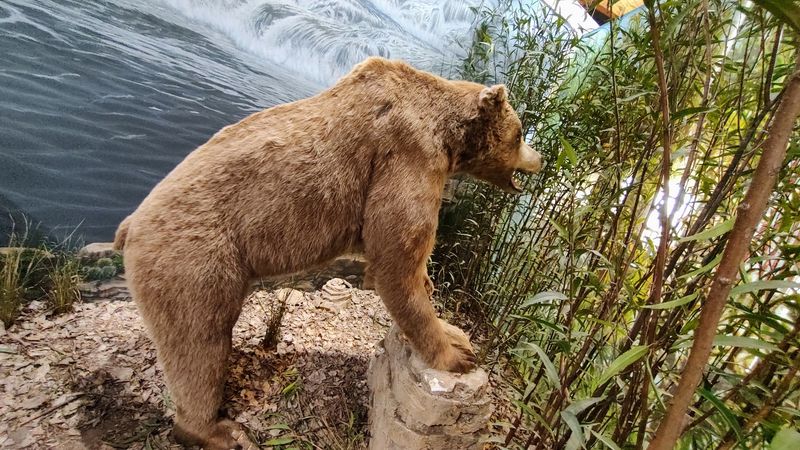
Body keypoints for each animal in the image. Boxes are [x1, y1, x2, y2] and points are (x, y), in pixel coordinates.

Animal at [113, 56, 542, 449]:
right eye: (521, 133)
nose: (539, 158)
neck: (448, 135)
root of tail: (130, 224)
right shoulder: (407, 155)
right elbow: (394, 260)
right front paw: (455, 356)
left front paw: (450, 323)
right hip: (195, 255)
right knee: (199, 342)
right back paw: (218, 430)